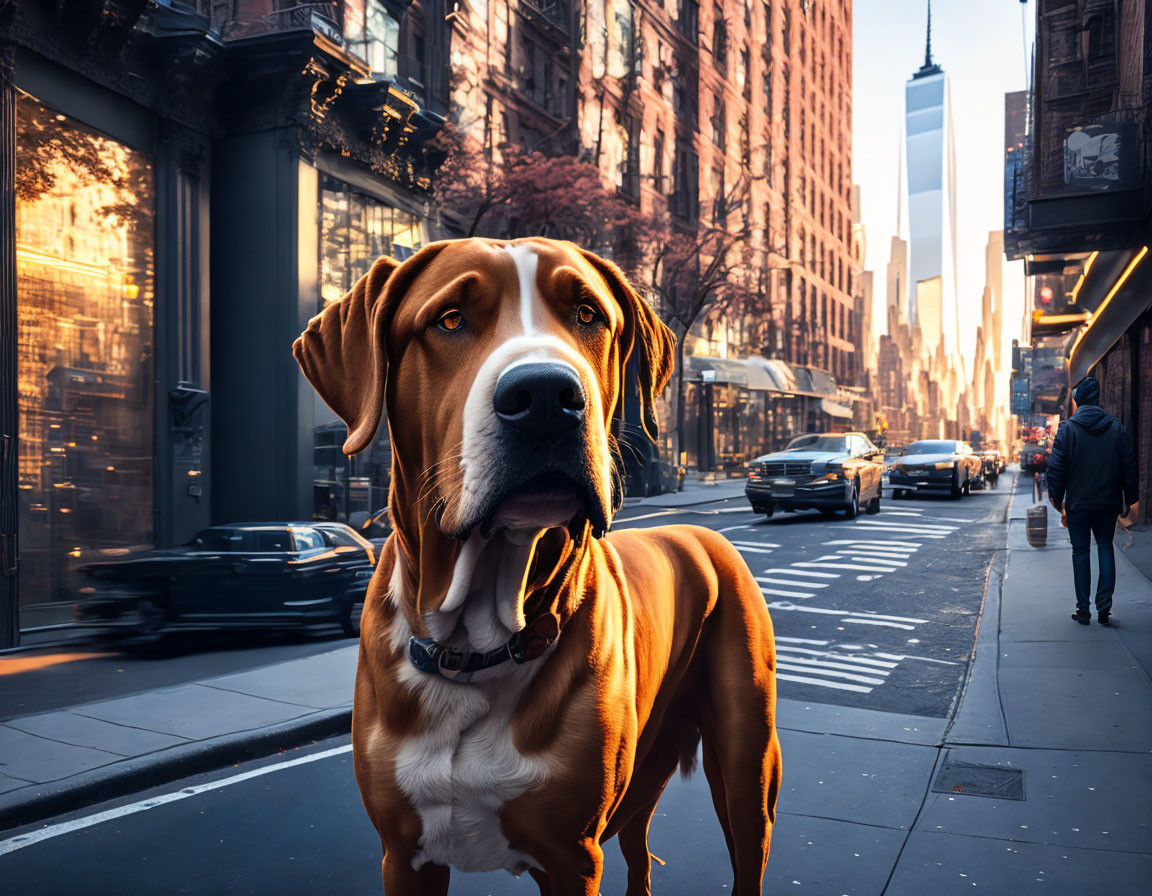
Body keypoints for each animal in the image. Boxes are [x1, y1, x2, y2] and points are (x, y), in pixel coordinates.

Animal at [294, 233, 783, 889]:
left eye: (588, 314)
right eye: (450, 319)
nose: (548, 396)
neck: (473, 646)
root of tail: (703, 533)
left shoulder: (571, 857)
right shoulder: (404, 855)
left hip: (745, 767)